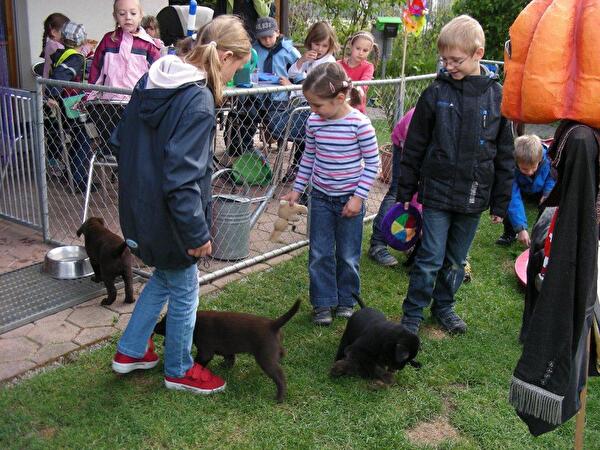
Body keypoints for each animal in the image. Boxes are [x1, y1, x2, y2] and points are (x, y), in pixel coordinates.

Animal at [154, 300, 300, 402]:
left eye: (164, 323)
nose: (154, 327)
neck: (195, 323)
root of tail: (273, 324)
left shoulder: (205, 350)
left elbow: (201, 361)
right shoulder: (226, 348)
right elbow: (230, 357)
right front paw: (225, 366)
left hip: (265, 358)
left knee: (280, 377)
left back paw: (279, 397)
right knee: (281, 353)